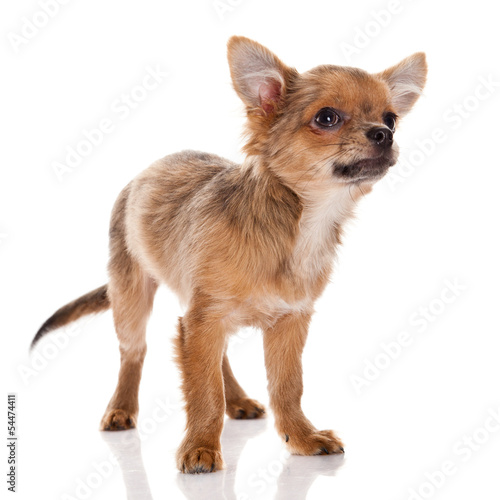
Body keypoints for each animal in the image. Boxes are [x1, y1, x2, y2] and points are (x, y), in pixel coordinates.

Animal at [32, 35, 426, 472]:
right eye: (327, 118)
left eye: (391, 118)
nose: (384, 134)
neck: (299, 225)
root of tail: (144, 173)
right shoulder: (204, 319)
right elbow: (203, 390)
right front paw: (201, 446)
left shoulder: (288, 321)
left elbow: (286, 385)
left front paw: (301, 437)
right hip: (131, 295)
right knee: (133, 353)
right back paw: (121, 408)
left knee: (216, 359)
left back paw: (237, 400)